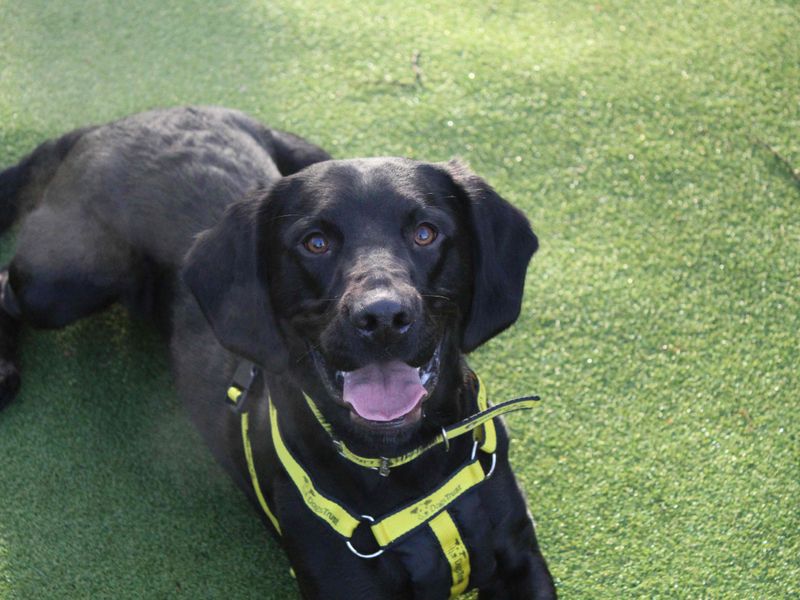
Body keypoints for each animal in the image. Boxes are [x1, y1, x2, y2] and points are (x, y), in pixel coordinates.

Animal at [0, 108, 556, 600]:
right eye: (315, 242)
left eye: (426, 233)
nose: (381, 317)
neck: (405, 467)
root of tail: (111, 123)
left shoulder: (522, 560)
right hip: (65, 280)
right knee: (8, 281)